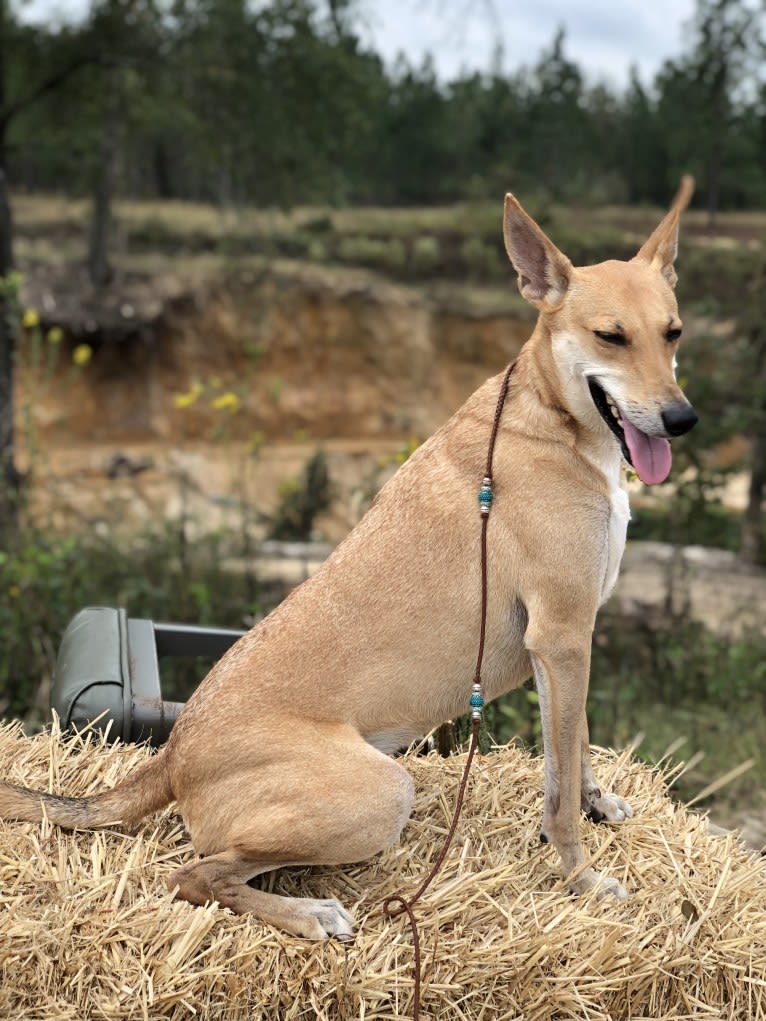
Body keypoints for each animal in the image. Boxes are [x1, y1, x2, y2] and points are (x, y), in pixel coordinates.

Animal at [0, 179, 698, 935]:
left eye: (673, 332)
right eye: (610, 336)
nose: (682, 420)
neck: (553, 415)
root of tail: (173, 751)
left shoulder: (568, 640)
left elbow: (570, 754)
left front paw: (595, 806)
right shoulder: (564, 633)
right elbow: (564, 783)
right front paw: (579, 876)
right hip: (382, 789)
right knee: (195, 875)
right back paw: (309, 913)